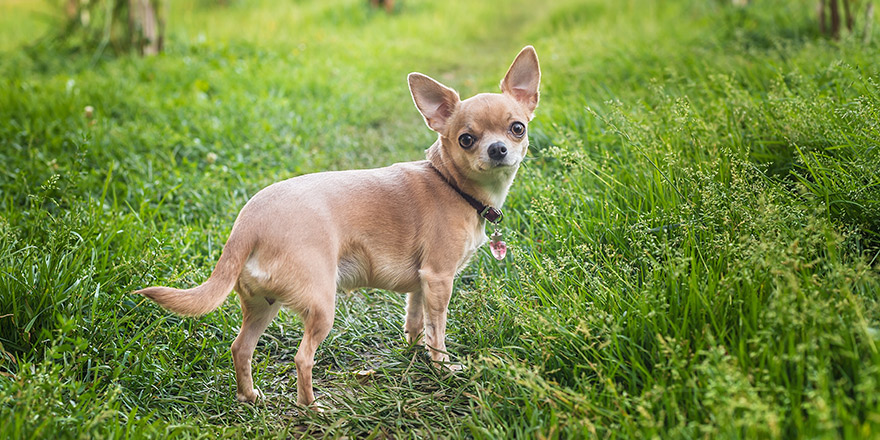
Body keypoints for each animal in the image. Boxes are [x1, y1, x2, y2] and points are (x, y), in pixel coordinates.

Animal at [137, 45, 540, 406]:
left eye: (517, 128)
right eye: (466, 139)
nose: (498, 149)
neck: (451, 183)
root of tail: (247, 223)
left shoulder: (422, 281)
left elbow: (415, 319)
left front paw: (413, 353)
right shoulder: (440, 278)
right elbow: (437, 330)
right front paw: (441, 367)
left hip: (262, 305)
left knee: (241, 347)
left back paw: (249, 396)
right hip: (320, 305)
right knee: (302, 357)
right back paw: (311, 407)